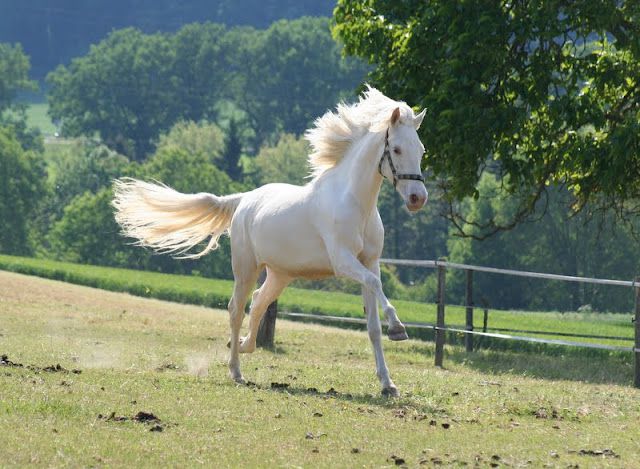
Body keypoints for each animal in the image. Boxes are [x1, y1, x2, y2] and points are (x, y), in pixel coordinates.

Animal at [112, 86, 428, 397]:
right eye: (396, 149)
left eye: (422, 150)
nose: (417, 198)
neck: (354, 203)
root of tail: (244, 200)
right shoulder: (344, 262)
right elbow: (376, 287)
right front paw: (398, 328)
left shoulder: (369, 263)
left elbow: (373, 325)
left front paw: (388, 384)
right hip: (246, 268)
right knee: (236, 309)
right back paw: (236, 370)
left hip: (279, 274)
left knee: (258, 301)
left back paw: (242, 345)